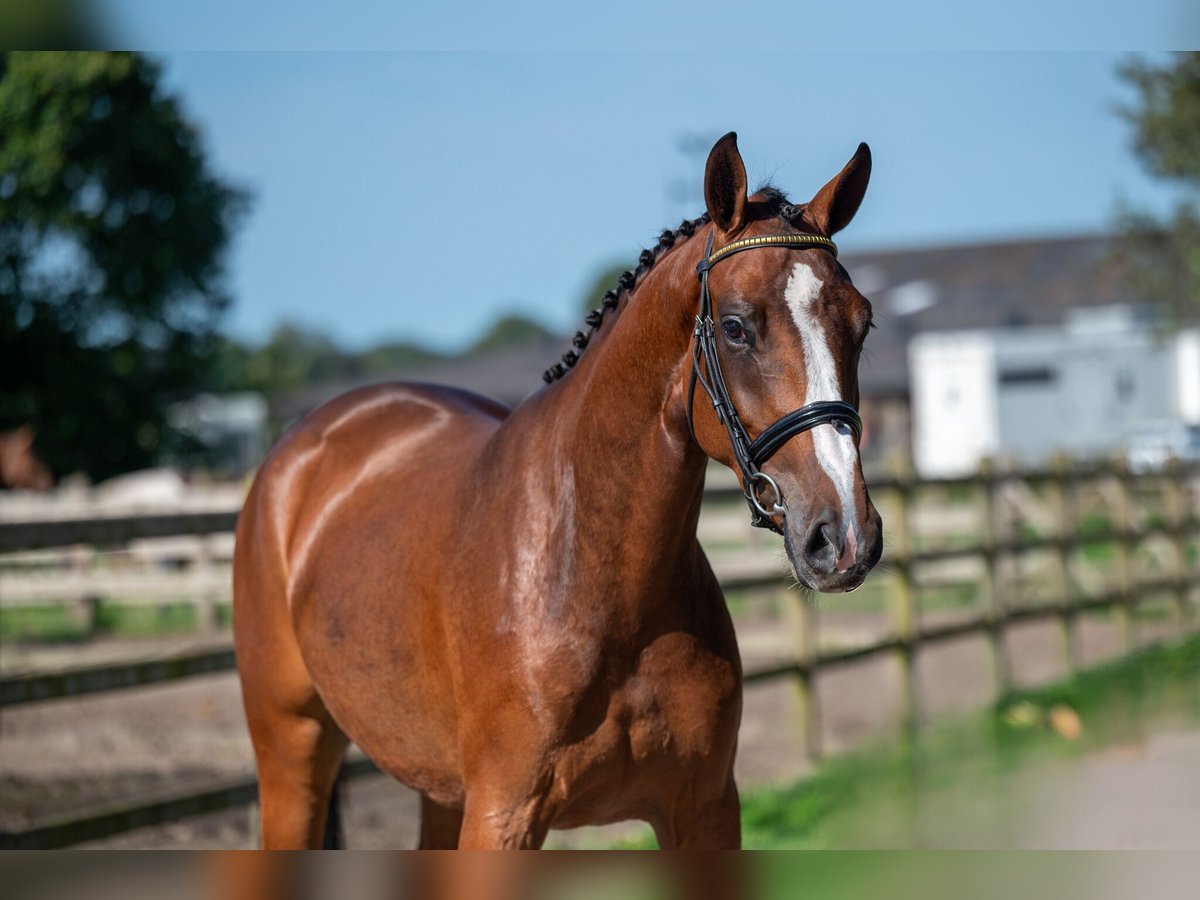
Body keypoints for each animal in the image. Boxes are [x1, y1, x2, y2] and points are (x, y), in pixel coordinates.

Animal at [234, 133, 888, 854]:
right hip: (292, 755)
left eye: (862, 323)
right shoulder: (503, 818)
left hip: (439, 792)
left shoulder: (704, 811)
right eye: (737, 326)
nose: (844, 536)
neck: (595, 582)